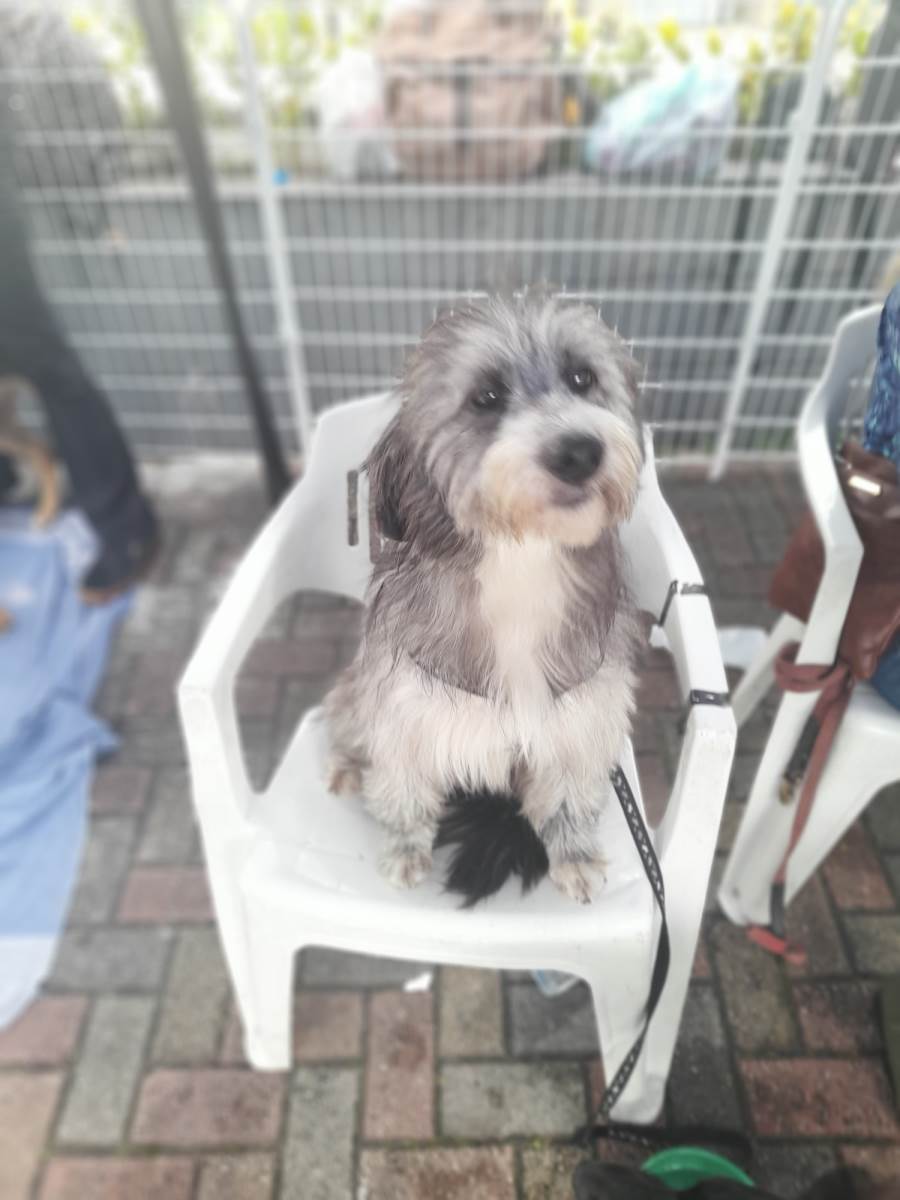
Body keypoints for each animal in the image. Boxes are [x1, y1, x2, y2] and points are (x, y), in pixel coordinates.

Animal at [324, 293, 644, 904]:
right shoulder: (404, 713)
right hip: (360, 690)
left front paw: (573, 854)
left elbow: (568, 795)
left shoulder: (578, 719)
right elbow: (403, 790)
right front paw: (404, 850)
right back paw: (346, 764)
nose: (579, 452)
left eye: (582, 377)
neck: (521, 557)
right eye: (486, 397)